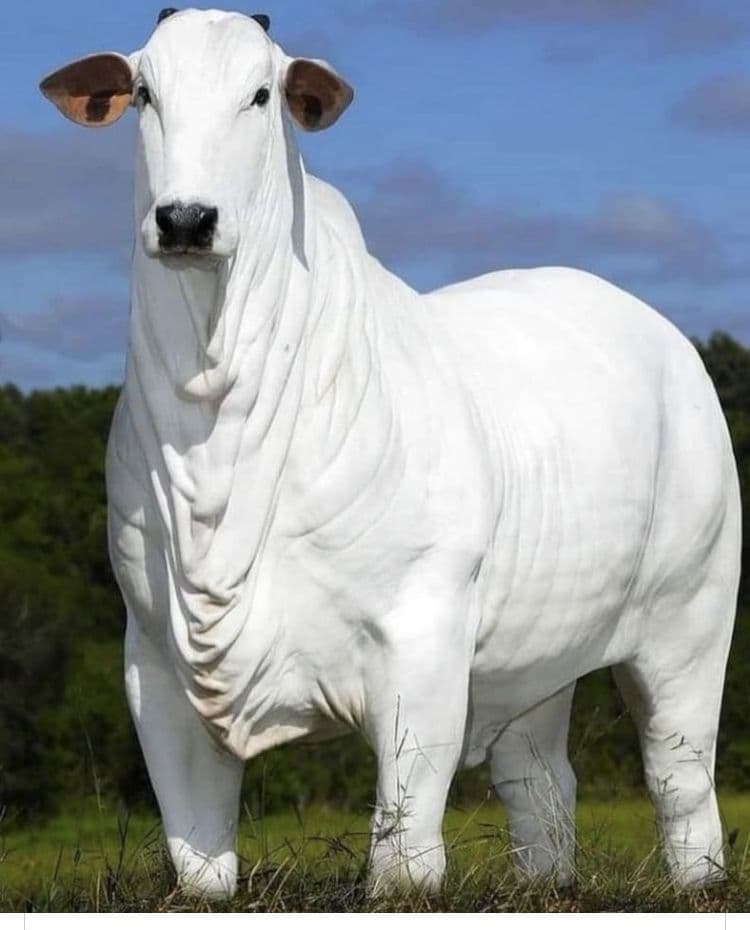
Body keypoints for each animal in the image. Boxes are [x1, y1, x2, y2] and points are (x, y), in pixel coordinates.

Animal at [40, 8, 740, 900]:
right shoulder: (154, 662)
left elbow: (406, 841)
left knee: (679, 771)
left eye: (261, 94)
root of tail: (665, 337)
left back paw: (698, 882)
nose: (187, 220)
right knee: (539, 777)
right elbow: (197, 853)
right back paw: (544, 885)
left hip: (692, 618)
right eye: (144, 93)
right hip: (536, 660)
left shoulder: (423, 633)